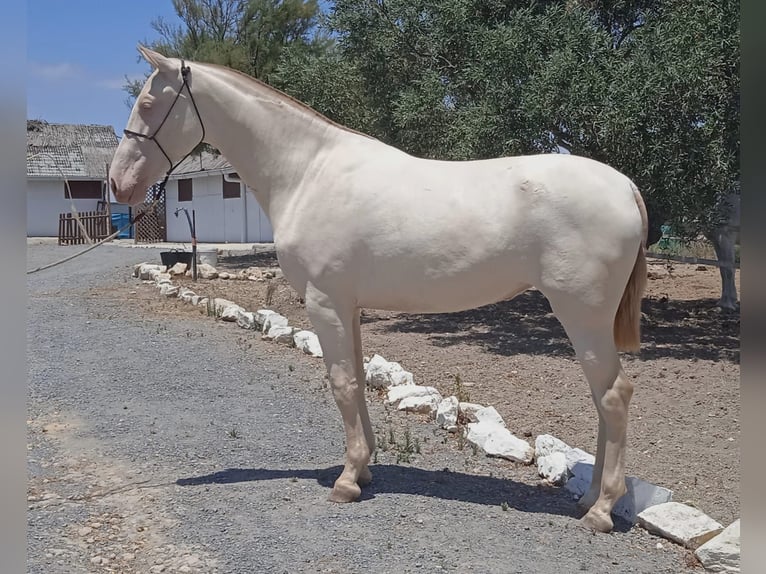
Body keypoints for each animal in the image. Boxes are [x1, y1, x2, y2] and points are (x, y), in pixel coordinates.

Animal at [108, 46, 648, 536]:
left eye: (150, 105)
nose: (119, 183)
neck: (307, 172)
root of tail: (625, 187)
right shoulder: (346, 306)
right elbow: (357, 380)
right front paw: (364, 469)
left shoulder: (324, 303)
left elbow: (343, 384)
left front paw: (347, 481)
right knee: (604, 398)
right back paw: (591, 499)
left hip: (581, 313)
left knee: (614, 395)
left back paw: (602, 511)